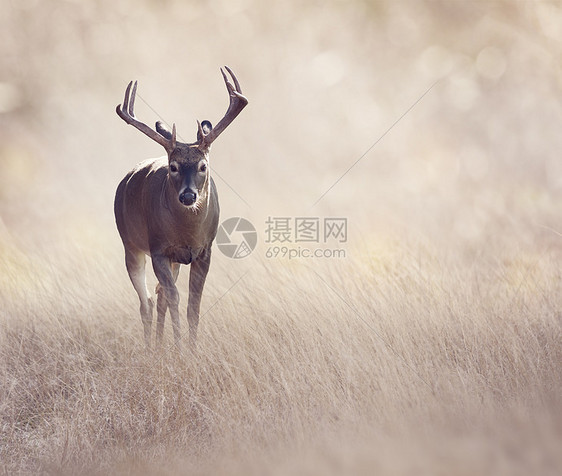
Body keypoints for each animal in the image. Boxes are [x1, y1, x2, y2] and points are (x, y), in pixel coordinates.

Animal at [112, 67, 246, 348]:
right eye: (173, 166)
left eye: (203, 165)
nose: (187, 195)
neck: (187, 232)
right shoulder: (159, 249)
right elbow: (174, 298)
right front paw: (179, 348)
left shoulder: (204, 251)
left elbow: (193, 304)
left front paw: (191, 350)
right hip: (130, 244)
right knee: (147, 302)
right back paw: (151, 348)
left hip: (172, 260)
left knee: (158, 295)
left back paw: (160, 345)